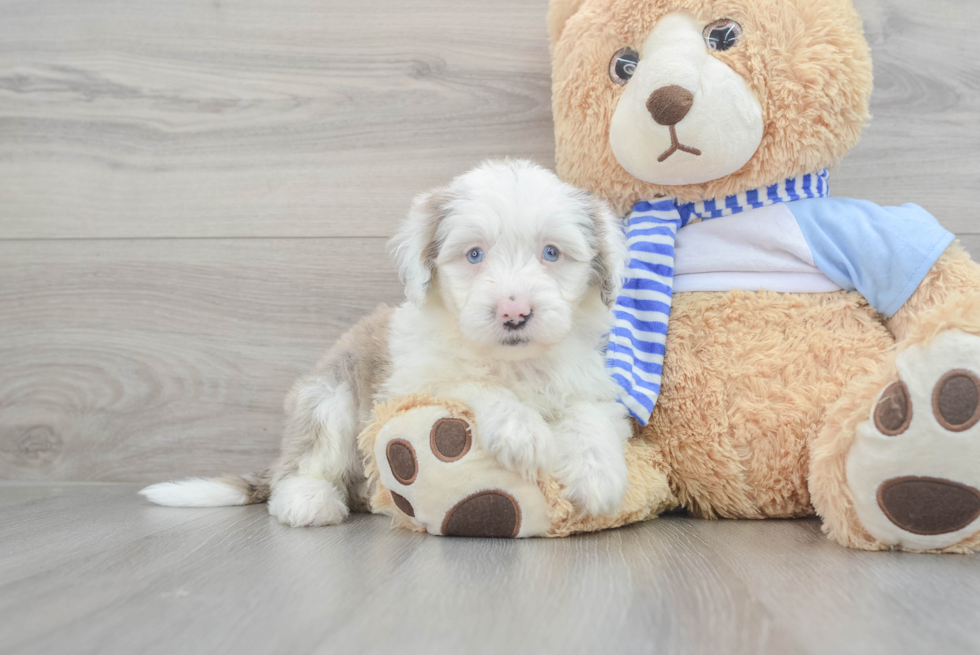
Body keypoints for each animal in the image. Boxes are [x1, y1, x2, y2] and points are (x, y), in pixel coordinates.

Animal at [145, 161, 636, 532]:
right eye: (474, 255)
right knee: (305, 462)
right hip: (329, 396)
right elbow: (467, 383)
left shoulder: (585, 381)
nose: (514, 312)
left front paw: (599, 475)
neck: (512, 361)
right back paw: (309, 500)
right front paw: (521, 429)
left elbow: (589, 414)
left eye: (551, 253)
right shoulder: (409, 382)